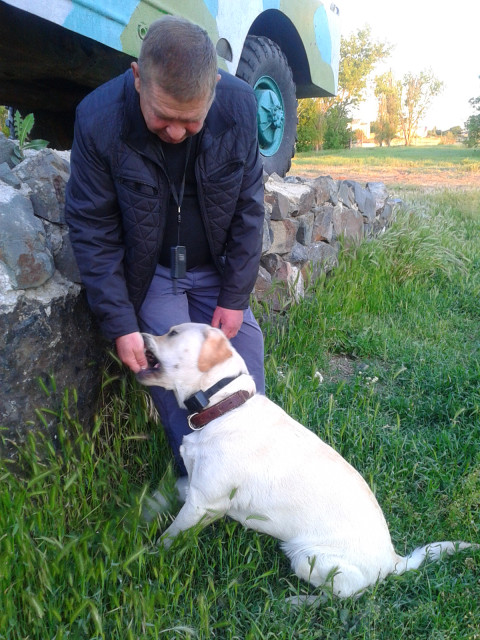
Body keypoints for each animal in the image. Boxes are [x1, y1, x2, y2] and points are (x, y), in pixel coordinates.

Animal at [137, 322, 474, 596]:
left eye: (172, 333)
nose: (138, 336)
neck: (224, 407)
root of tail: (393, 561)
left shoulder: (203, 503)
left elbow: (168, 537)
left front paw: (144, 556)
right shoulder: (193, 485)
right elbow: (159, 497)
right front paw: (136, 513)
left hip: (307, 559)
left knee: (340, 599)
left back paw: (298, 602)